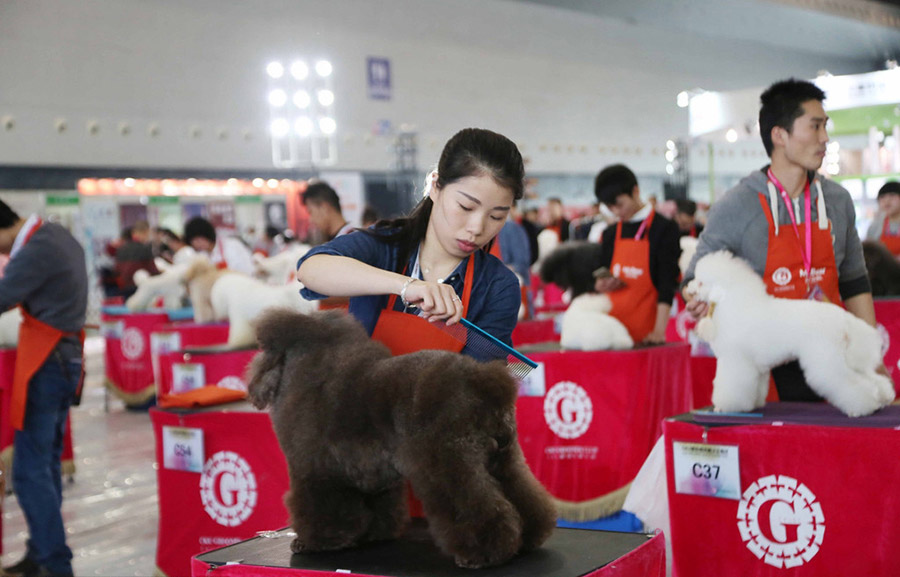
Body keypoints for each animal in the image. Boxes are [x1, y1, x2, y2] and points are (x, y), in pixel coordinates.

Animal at [246, 310, 556, 568]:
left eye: (262, 352)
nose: (252, 387)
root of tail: (484, 382)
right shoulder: (372, 474)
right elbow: (380, 508)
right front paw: (373, 535)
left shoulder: (315, 472)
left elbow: (319, 511)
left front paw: (312, 542)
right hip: (503, 460)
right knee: (524, 498)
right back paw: (528, 539)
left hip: (450, 463)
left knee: (478, 507)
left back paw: (480, 555)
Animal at [688, 250, 892, 416]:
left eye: (701, 283)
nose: (689, 289)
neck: (734, 304)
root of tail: (844, 319)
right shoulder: (755, 367)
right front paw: (753, 405)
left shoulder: (736, 360)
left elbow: (731, 386)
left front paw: (725, 407)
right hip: (842, 358)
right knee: (870, 378)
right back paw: (880, 398)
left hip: (825, 359)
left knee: (850, 383)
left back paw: (862, 408)